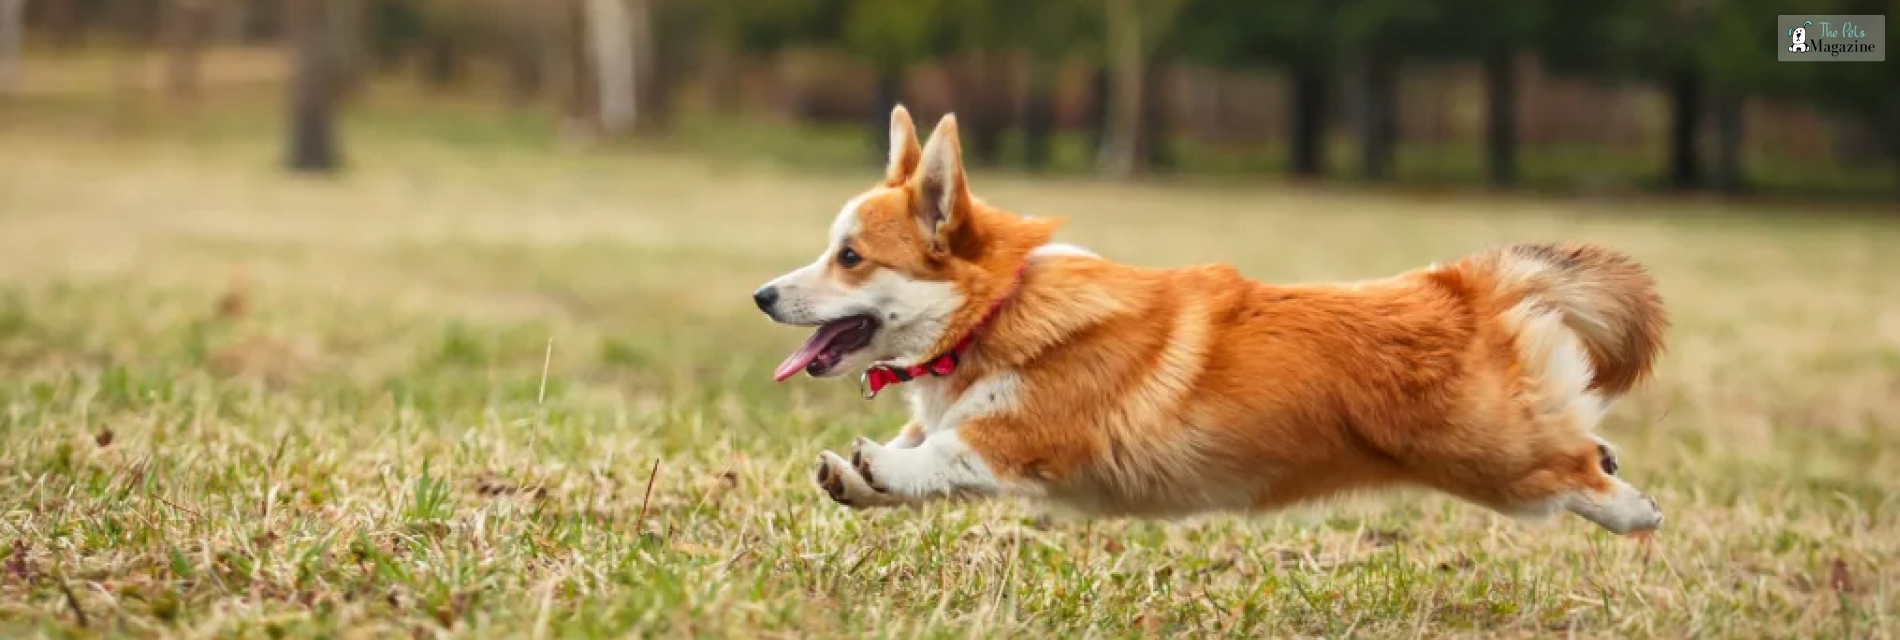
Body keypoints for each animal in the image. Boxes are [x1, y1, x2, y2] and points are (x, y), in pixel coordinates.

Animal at [748, 104, 1672, 531]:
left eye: (850, 257)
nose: (761, 296)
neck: (995, 311)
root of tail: (1461, 284)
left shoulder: (1029, 437)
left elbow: (944, 453)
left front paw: (879, 465)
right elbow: (910, 461)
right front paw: (855, 477)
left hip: (1493, 458)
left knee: (1573, 466)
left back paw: (1635, 509)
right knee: (1582, 439)